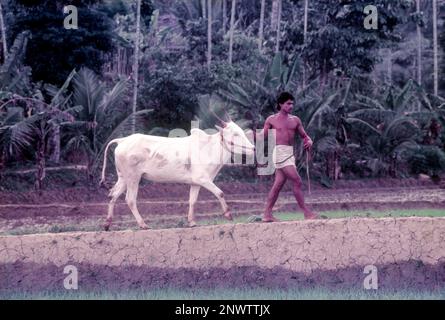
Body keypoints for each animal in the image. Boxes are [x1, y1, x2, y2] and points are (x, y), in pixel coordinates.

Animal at [99, 120, 255, 230]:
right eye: (235, 134)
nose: (253, 148)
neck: (209, 148)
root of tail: (123, 140)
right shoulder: (203, 179)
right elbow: (220, 193)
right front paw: (228, 214)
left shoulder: (196, 182)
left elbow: (192, 201)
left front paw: (192, 222)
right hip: (133, 178)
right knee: (130, 199)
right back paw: (143, 224)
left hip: (124, 178)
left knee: (112, 195)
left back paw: (107, 224)